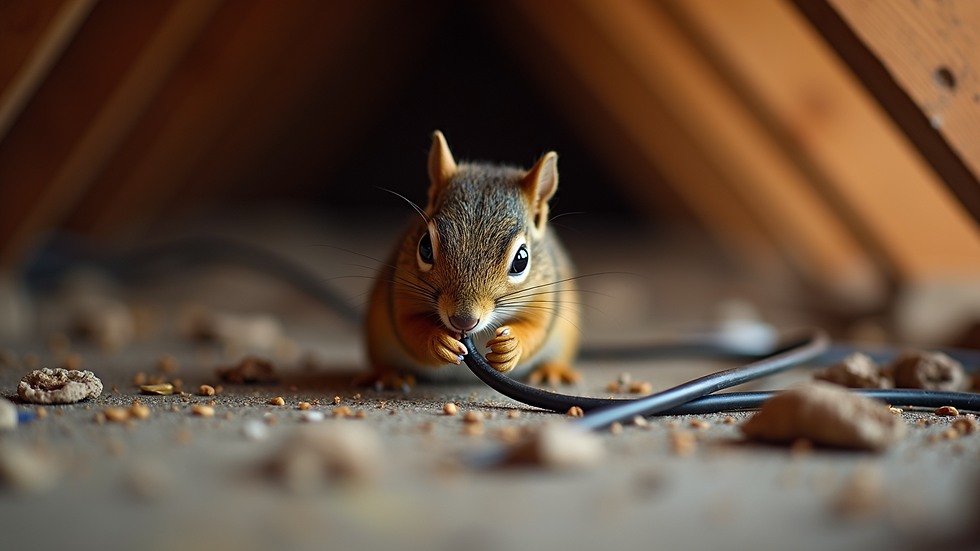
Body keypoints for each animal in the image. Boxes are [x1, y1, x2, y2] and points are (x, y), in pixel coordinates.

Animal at [365, 131, 581, 385]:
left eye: (521, 259)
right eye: (425, 247)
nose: (463, 321)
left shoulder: (546, 295)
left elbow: (537, 329)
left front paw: (511, 347)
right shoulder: (400, 290)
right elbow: (408, 327)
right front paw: (438, 341)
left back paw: (552, 370)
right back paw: (387, 375)